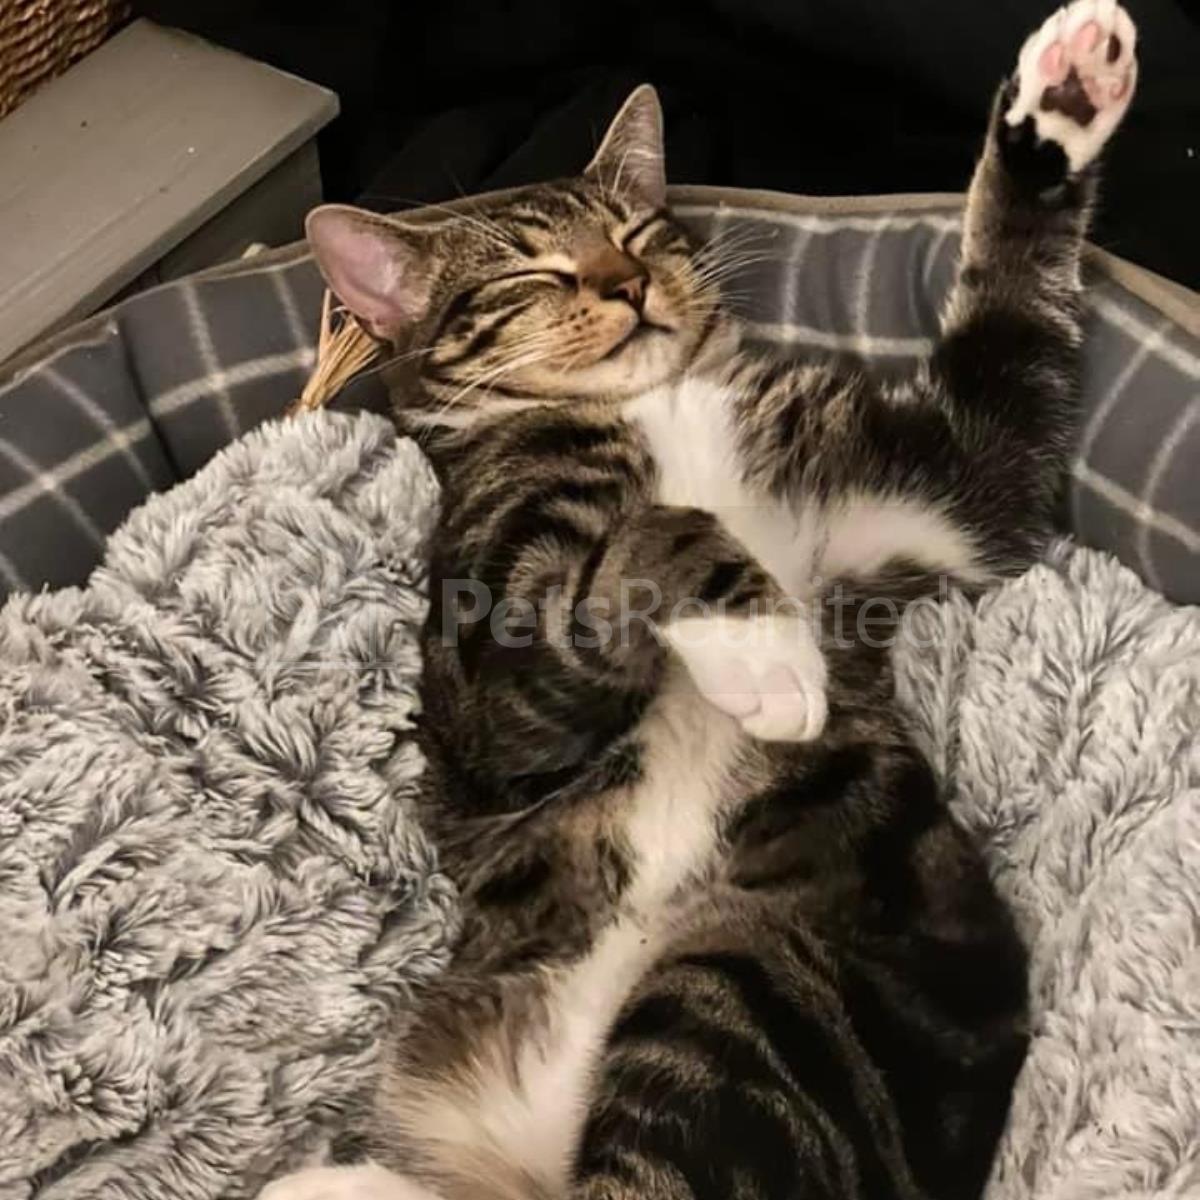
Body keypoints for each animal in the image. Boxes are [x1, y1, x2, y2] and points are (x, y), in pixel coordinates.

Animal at [262, 3, 1138, 1199]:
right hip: (733, 999)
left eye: (638, 231)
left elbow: (1008, 356)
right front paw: (763, 646)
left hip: (748, 976)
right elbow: (653, 533)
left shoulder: (947, 487)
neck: (659, 404)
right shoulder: (489, 676)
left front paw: (1063, 102)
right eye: (530, 274)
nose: (624, 283)